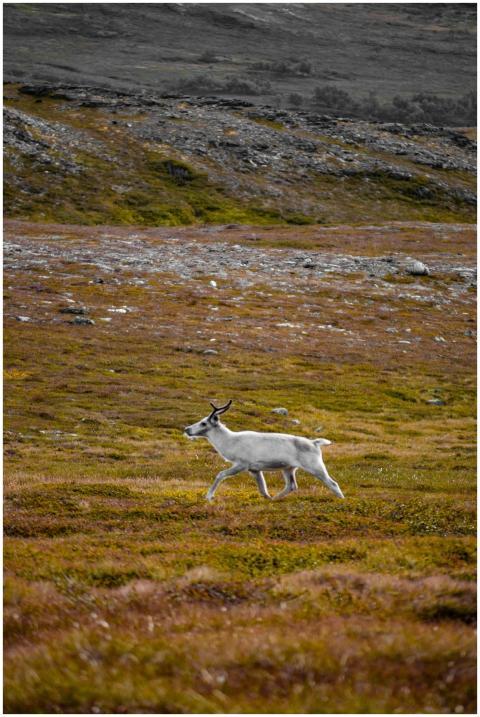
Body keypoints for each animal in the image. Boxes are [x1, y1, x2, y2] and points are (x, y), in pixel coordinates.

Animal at [184, 400, 345, 501]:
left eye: (204, 423)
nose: (186, 429)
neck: (229, 441)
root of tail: (315, 443)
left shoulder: (242, 464)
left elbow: (220, 474)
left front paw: (208, 497)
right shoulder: (254, 469)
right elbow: (262, 488)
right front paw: (267, 498)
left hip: (315, 466)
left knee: (333, 483)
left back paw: (342, 500)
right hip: (288, 468)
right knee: (291, 486)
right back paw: (275, 499)